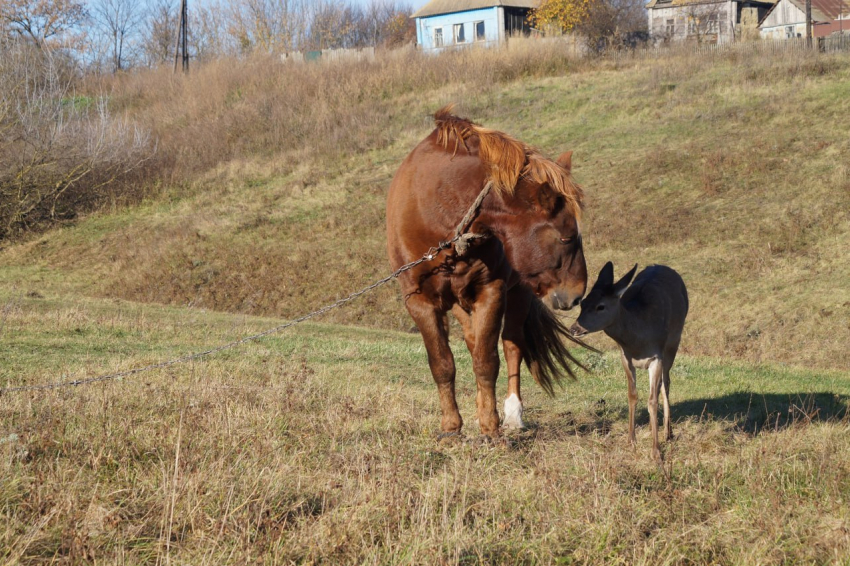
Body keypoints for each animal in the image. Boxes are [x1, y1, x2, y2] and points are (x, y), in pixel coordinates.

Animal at [386, 108, 588, 442]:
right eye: (565, 237)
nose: (577, 293)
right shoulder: (419, 301)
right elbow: (442, 363)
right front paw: (451, 427)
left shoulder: (491, 291)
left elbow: (487, 361)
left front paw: (491, 427)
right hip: (460, 301)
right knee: (473, 341)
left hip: (518, 293)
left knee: (511, 345)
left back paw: (511, 414)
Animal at [568, 262, 684, 462]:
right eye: (582, 303)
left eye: (601, 306)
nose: (574, 329)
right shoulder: (625, 357)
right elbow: (632, 395)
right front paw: (631, 440)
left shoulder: (657, 356)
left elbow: (652, 400)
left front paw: (656, 451)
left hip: (674, 342)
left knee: (666, 383)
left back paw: (668, 432)